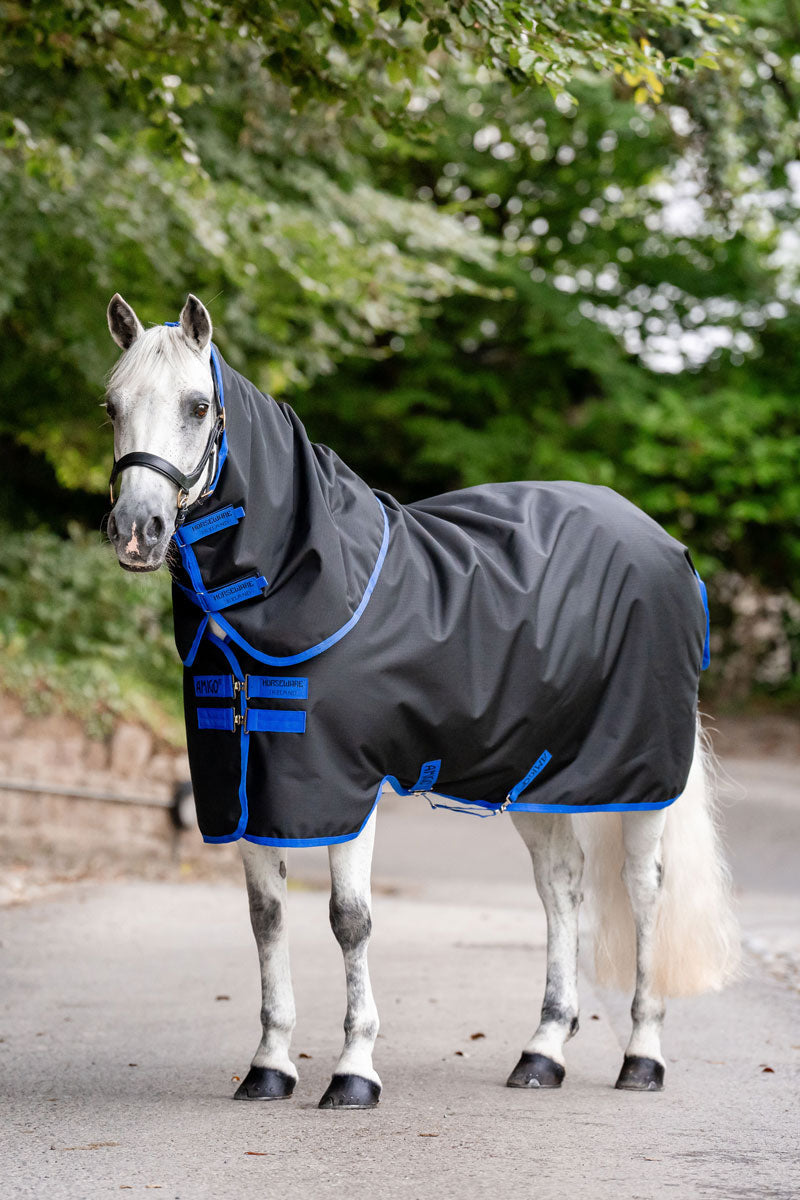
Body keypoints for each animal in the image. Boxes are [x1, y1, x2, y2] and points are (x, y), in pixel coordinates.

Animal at [102, 292, 739, 1109]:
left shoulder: (345, 785)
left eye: (198, 405)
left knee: (646, 891)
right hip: (534, 774)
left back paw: (643, 1056)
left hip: (643, 776)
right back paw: (542, 1052)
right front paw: (270, 1066)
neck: (302, 581)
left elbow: (349, 920)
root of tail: (668, 547)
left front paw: (353, 1072)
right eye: (111, 404)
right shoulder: (245, 786)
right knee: (561, 887)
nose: (137, 531)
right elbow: (266, 919)